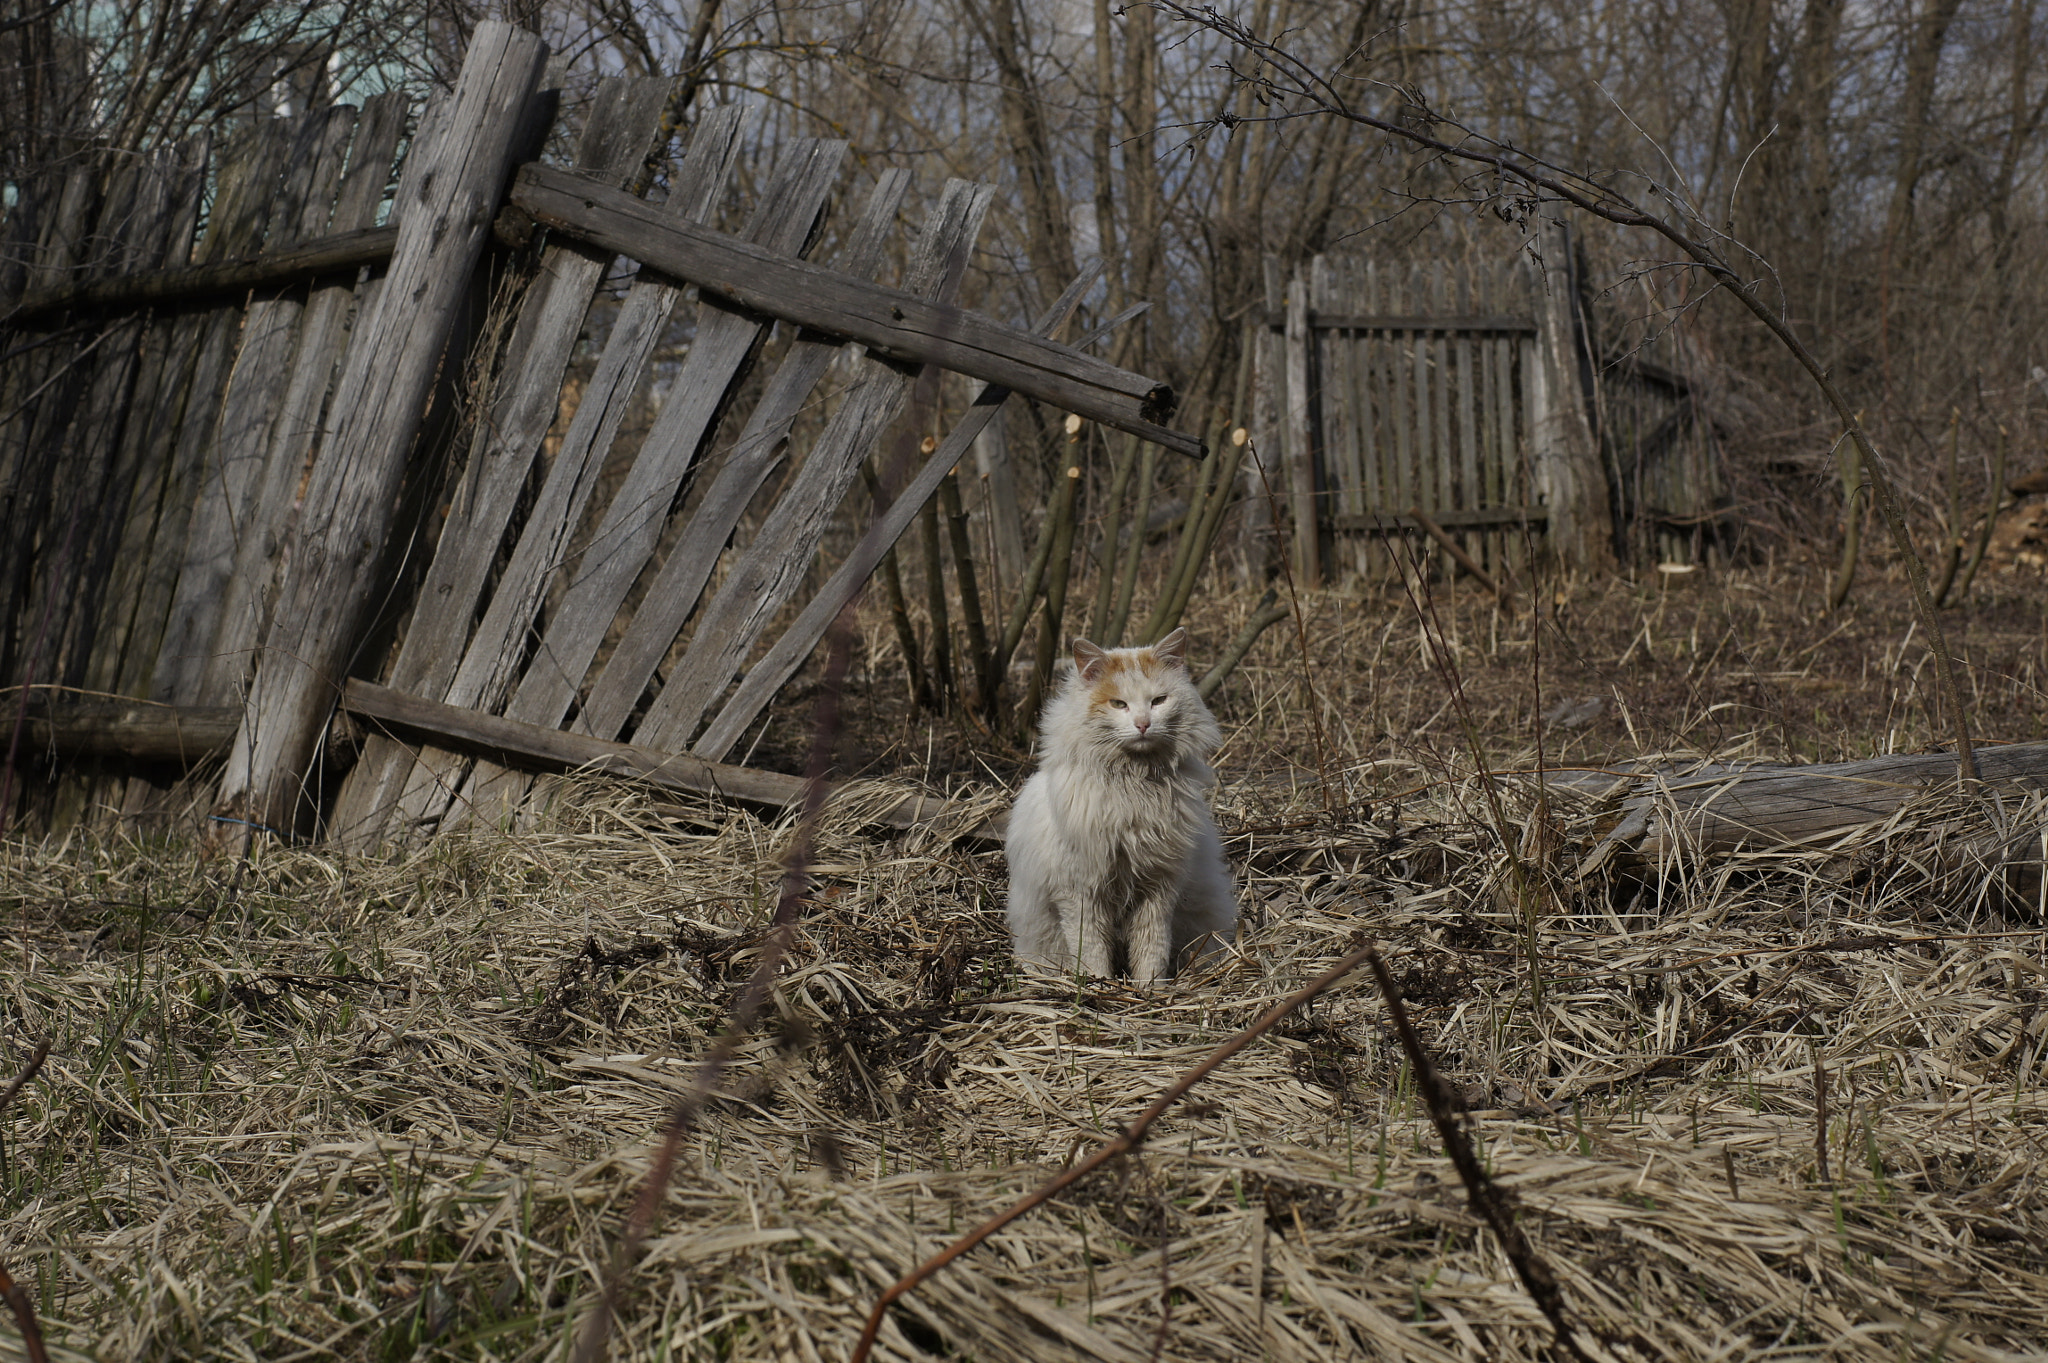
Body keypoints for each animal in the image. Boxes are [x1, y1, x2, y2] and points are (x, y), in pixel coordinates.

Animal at [1003, 622, 1228, 982]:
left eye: (1158, 701)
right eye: (1119, 704)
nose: (1143, 724)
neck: (1134, 786)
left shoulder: (1159, 886)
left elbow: (1152, 947)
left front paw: (1151, 987)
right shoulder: (1080, 892)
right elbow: (1091, 948)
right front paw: (1098, 984)